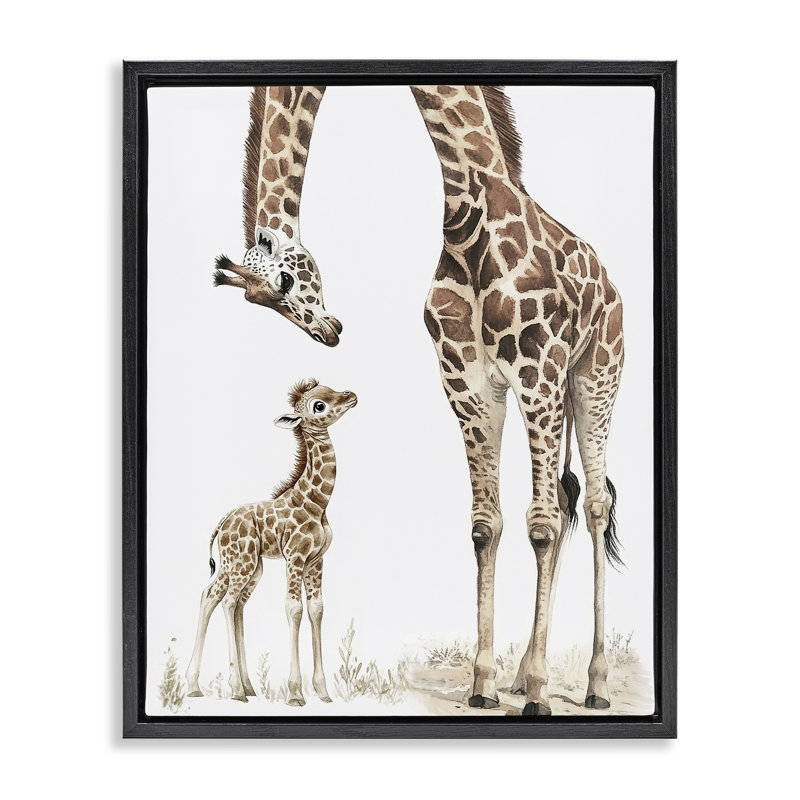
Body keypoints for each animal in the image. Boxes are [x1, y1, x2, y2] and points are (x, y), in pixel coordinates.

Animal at [185, 379, 357, 705]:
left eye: (329, 388)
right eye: (318, 405)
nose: (351, 396)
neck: (317, 504)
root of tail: (222, 523)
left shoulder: (316, 560)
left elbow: (317, 609)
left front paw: (323, 691)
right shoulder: (295, 557)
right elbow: (294, 609)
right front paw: (295, 693)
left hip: (247, 566)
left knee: (219, 598)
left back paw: (220, 686)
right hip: (241, 563)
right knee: (225, 600)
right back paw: (234, 690)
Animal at [215, 85, 625, 716]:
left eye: (284, 281)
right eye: (270, 298)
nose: (329, 331)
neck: (468, 213)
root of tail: (612, 286)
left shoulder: (537, 372)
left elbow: (541, 525)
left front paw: (537, 693)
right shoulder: (468, 386)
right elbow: (485, 525)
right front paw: (484, 683)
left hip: (592, 376)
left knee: (597, 504)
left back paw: (593, 683)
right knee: (569, 497)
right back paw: (521, 674)